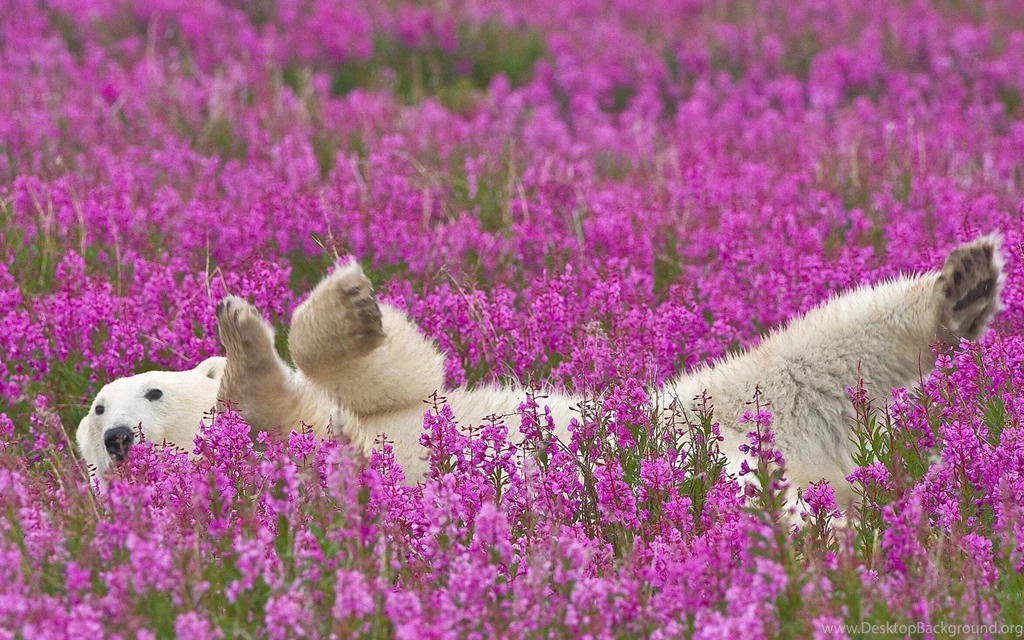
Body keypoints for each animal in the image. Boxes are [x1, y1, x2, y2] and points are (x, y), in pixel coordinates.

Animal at [77, 236, 1004, 512]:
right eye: (94, 411)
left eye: (147, 389)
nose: (118, 436)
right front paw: (246, 350)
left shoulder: (383, 410)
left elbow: (405, 375)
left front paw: (330, 307)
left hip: (712, 406)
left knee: (820, 348)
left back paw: (962, 285)